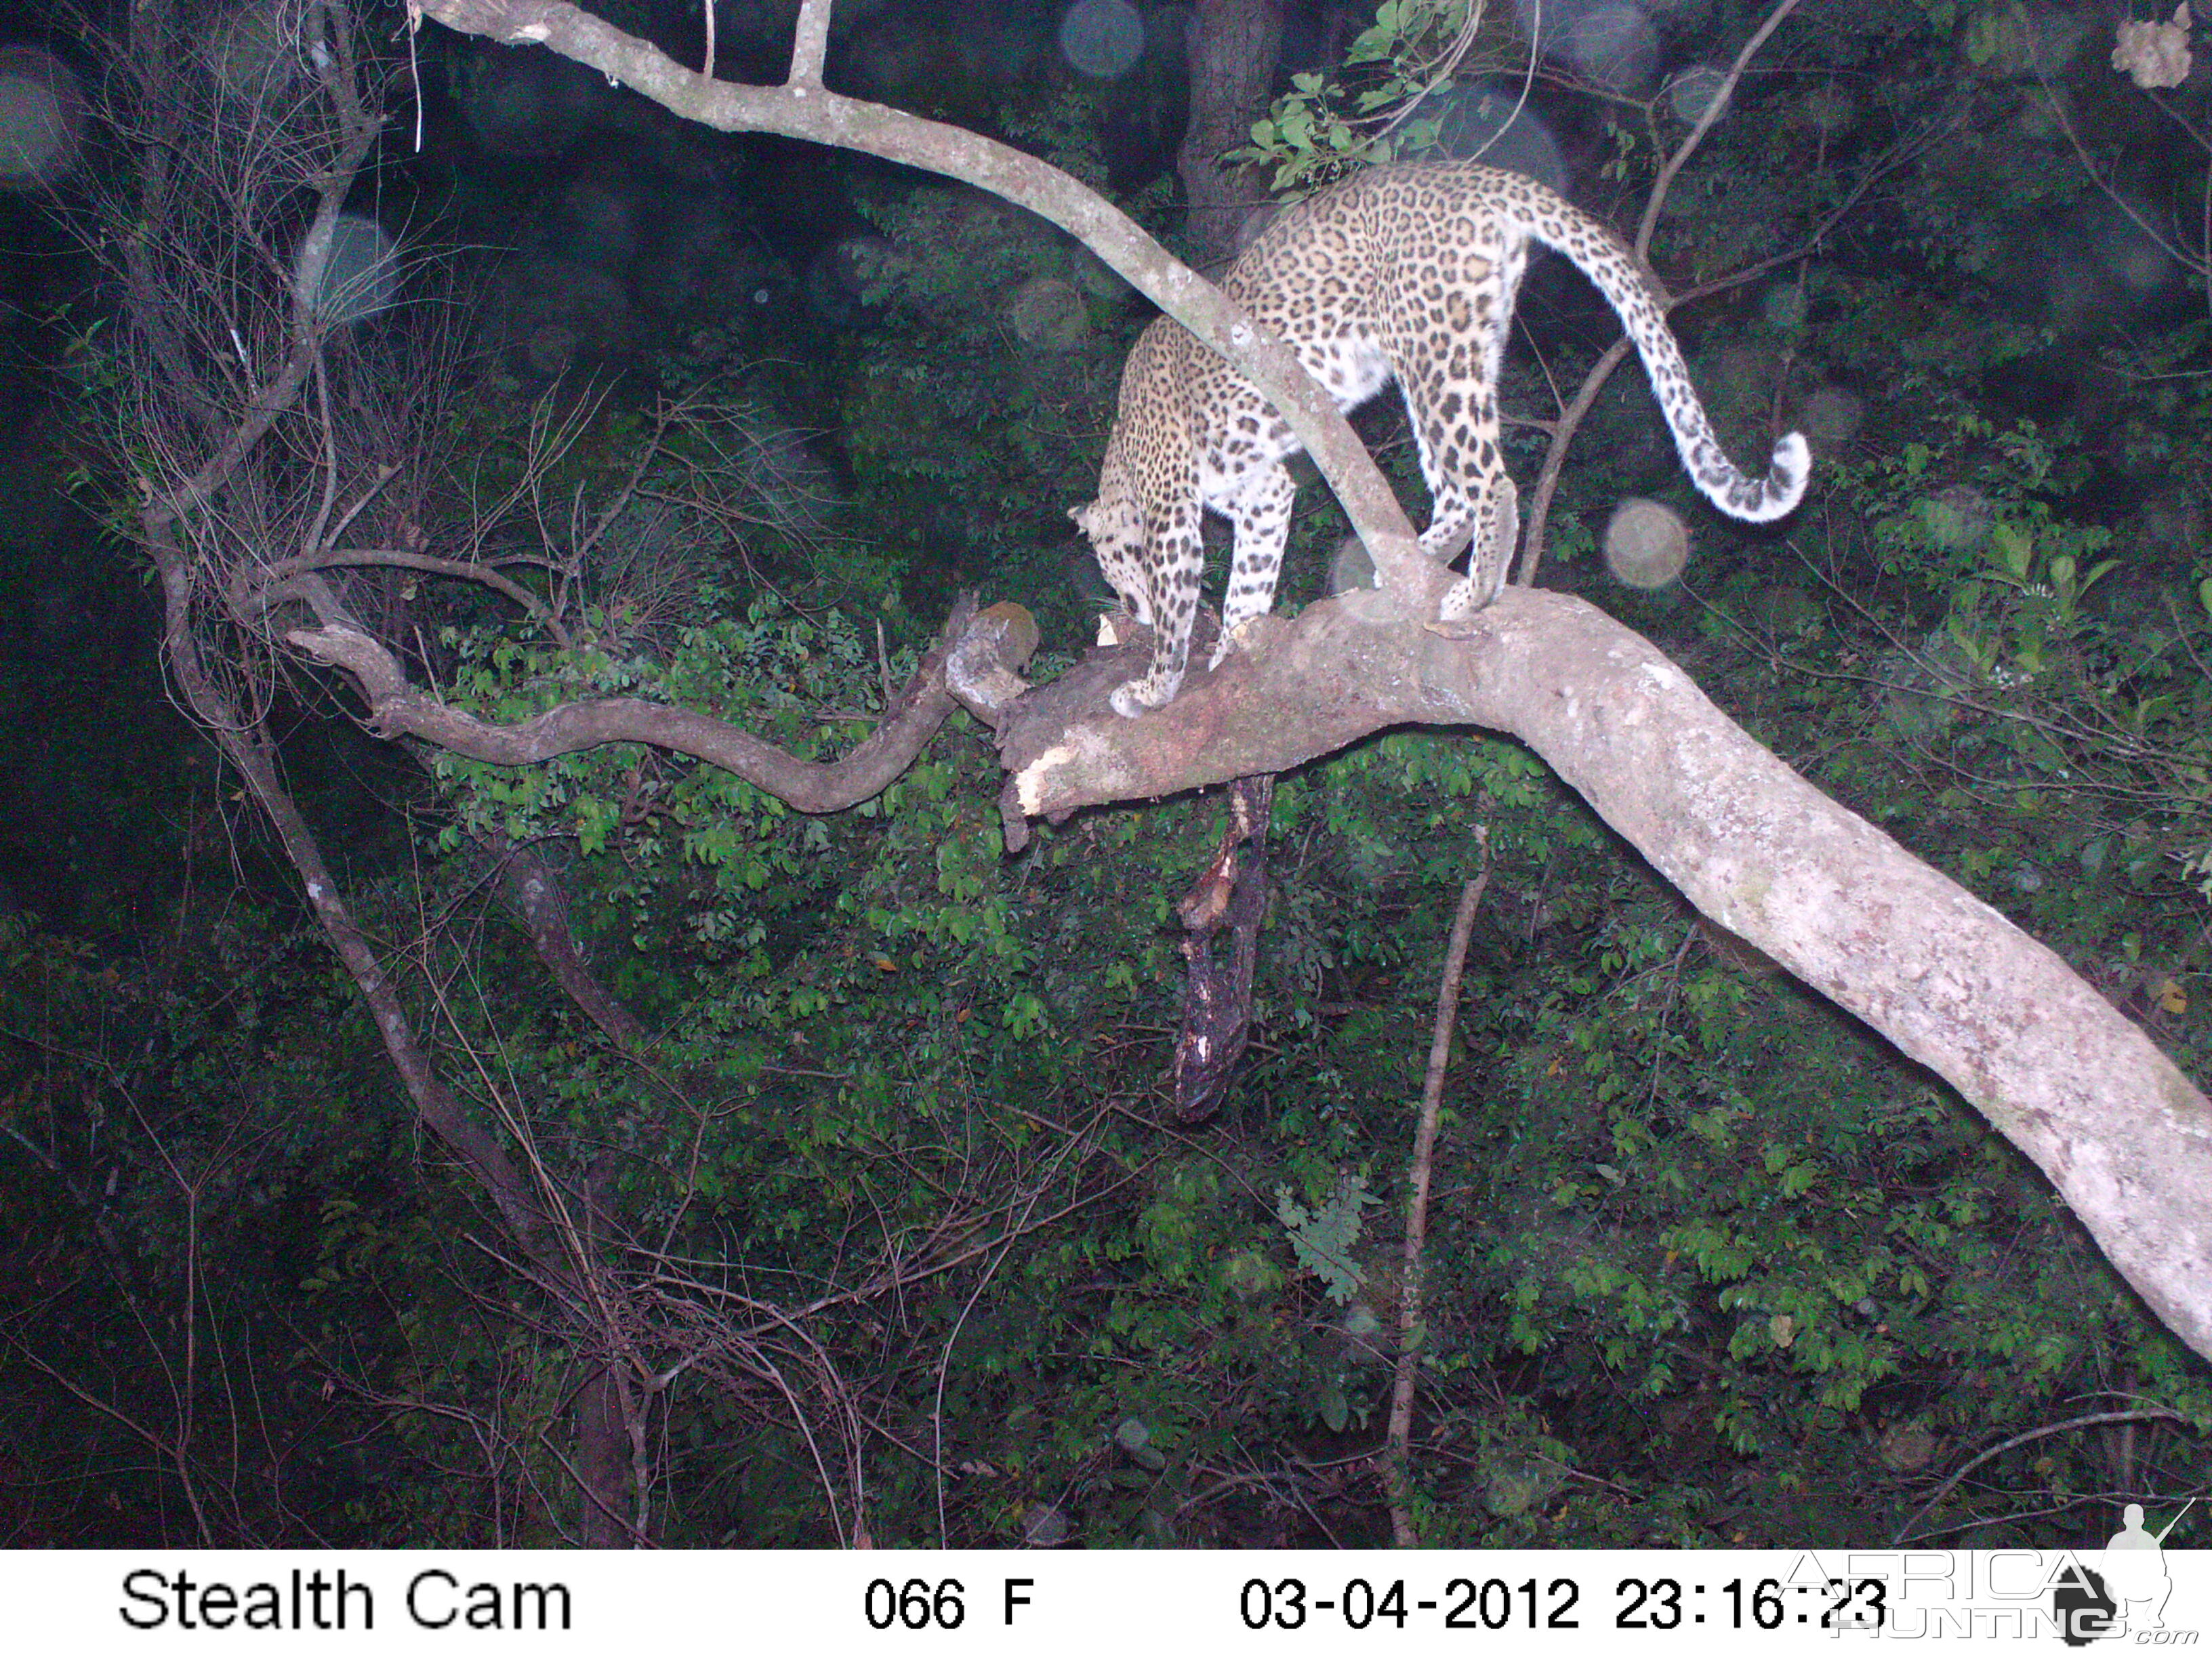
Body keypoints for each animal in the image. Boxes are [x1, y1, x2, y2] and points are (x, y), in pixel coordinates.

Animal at [1070, 157, 1814, 721]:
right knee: (1458, 486)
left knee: (1493, 482)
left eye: (1113, 566)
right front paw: (1233, 648)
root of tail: (1477, 175)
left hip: (1432, 352)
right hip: (1465, 348)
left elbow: (1181, 604)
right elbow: (1249, 579)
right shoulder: (1263, 491)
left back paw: (1474, 592)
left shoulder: (1173, 515)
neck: (1121, 455)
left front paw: (1156, 686)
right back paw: (1412, 564)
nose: (1125, 608)